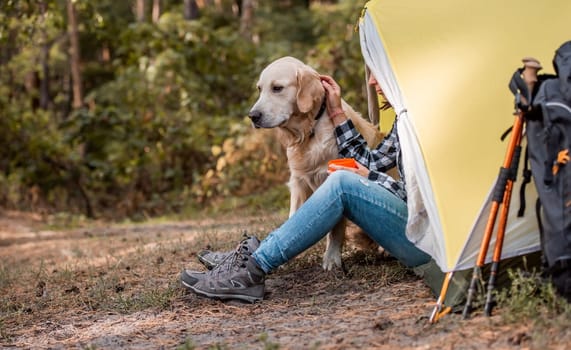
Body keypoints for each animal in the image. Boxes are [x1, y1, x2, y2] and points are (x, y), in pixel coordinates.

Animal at [248, 56, 382, 270]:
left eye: (277, 88)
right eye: (259, 89)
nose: (252, 116)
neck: (309, 131)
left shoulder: (332, 175)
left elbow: (336, 229)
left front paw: (331, 258)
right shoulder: (298, 181)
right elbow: (293, 217)